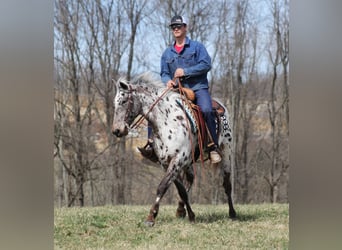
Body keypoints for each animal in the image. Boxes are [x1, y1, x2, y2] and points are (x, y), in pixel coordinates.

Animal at [111, 73, 235, 227]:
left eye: (123, 101)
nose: (116, 130)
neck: (168, 122)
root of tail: (221, 105)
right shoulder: (166, 163)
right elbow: (181, 190)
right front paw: (188, 214)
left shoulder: (178, 160)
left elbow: (162, 186)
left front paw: (151, 217)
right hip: (189, 162)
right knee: (190, 180)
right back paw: (182, 209)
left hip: (226, 153)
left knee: (227, 184)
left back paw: (232, 213)